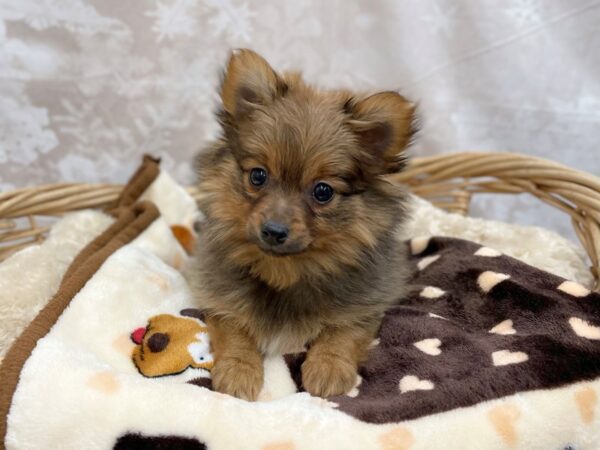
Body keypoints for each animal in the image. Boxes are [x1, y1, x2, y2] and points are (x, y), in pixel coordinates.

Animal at [189, 49, 418, 400]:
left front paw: (329, 367)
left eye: (322, 192)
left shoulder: (366, 303)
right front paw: (238, 371)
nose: (274, 231)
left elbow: (343, 331)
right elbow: (234, 330)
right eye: (258, 176)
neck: (285, 272)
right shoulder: (218, 295)